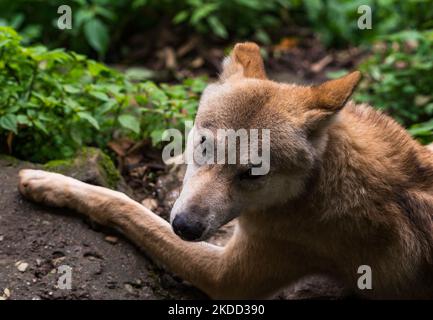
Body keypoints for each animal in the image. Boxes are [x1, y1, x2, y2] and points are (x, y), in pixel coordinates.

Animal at [18, 42, 432, 298]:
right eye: (203, 145)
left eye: (253, 174)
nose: (185, 227)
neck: (316, 186)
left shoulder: (226, 279)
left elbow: (121, 202)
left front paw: (49, 182)